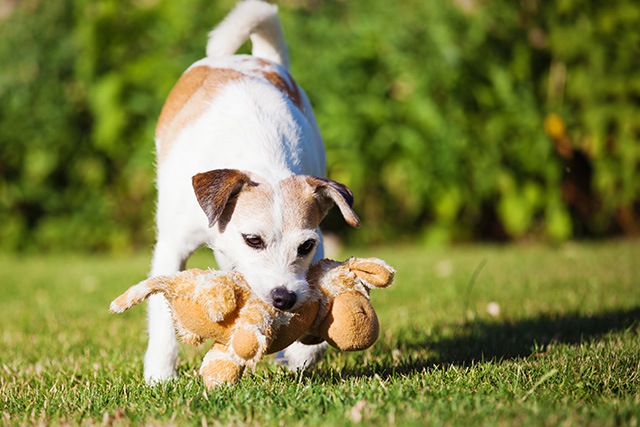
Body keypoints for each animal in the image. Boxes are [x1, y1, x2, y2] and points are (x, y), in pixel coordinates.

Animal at [144, 0, 360, 382]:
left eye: (305, 246)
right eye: (253, 240)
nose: (284, 298)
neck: (260, 159)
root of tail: (248, 57)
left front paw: (301, 355)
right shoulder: (172, 245)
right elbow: (161, 312)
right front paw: (159, 375)